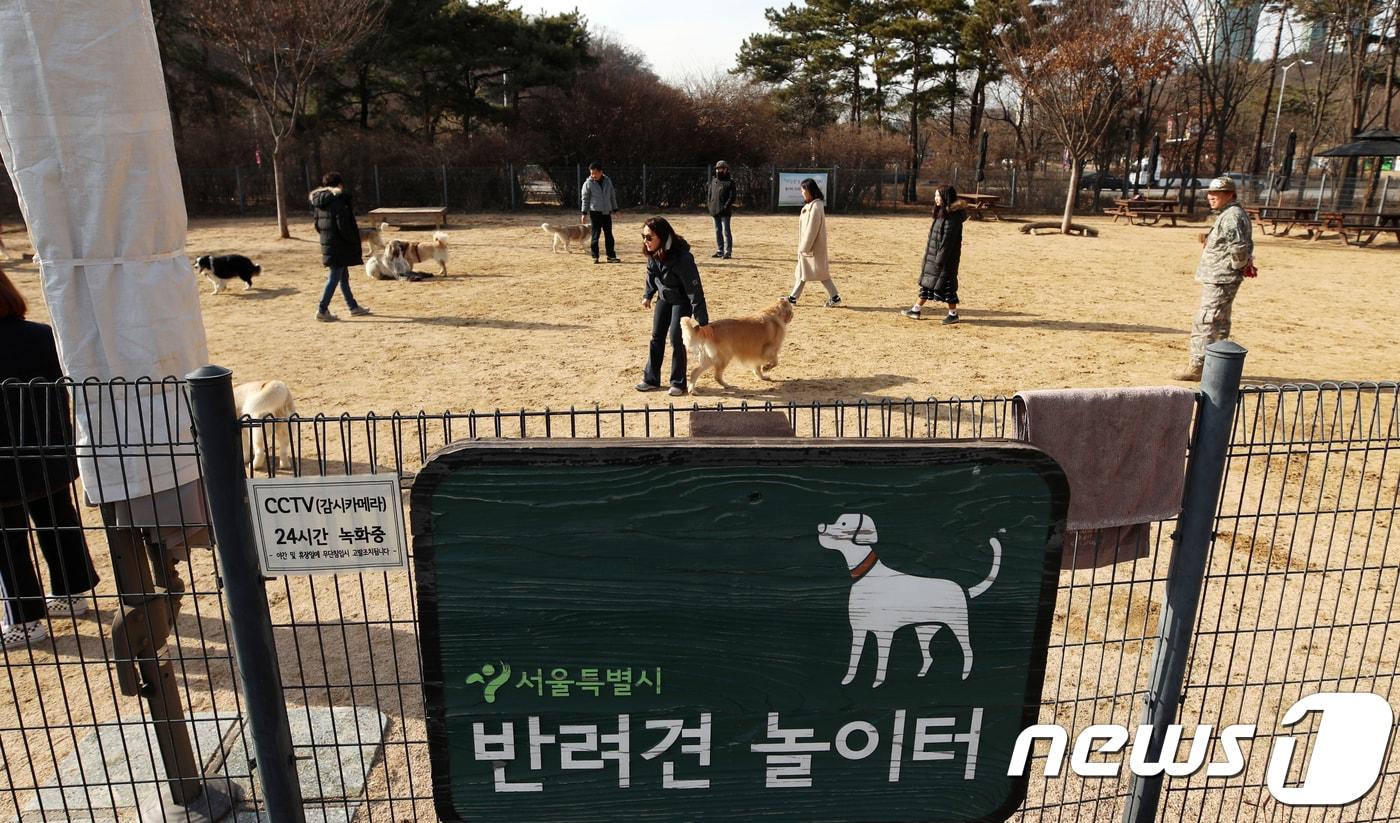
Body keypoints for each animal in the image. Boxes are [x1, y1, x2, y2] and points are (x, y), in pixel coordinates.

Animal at [817, 515, 1002, 688]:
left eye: (843, 523)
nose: (820, 526)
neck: (867, 577)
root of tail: (963, 588)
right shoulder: (858, 631)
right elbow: (853, 659)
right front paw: (848, 679)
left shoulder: (884, 633)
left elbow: (882, 661)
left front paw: (877, 682)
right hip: (924, 630)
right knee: (929, 656)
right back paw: (921, 674)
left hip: (959, 626)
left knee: (968, 650)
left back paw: (964, 676)